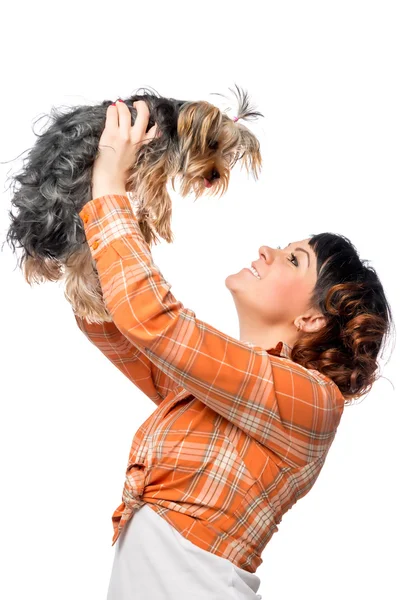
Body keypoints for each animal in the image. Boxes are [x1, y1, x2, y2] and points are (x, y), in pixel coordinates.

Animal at [6, 84, 264, 324]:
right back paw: (93, 308)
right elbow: (156, 191)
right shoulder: (152, 156)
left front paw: (145, 227)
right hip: (73, 206)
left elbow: (145, 198)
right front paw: (161, 224)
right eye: (211, 143)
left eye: (228, 154)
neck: (176, 124)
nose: (216, 175)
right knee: (76, 269)